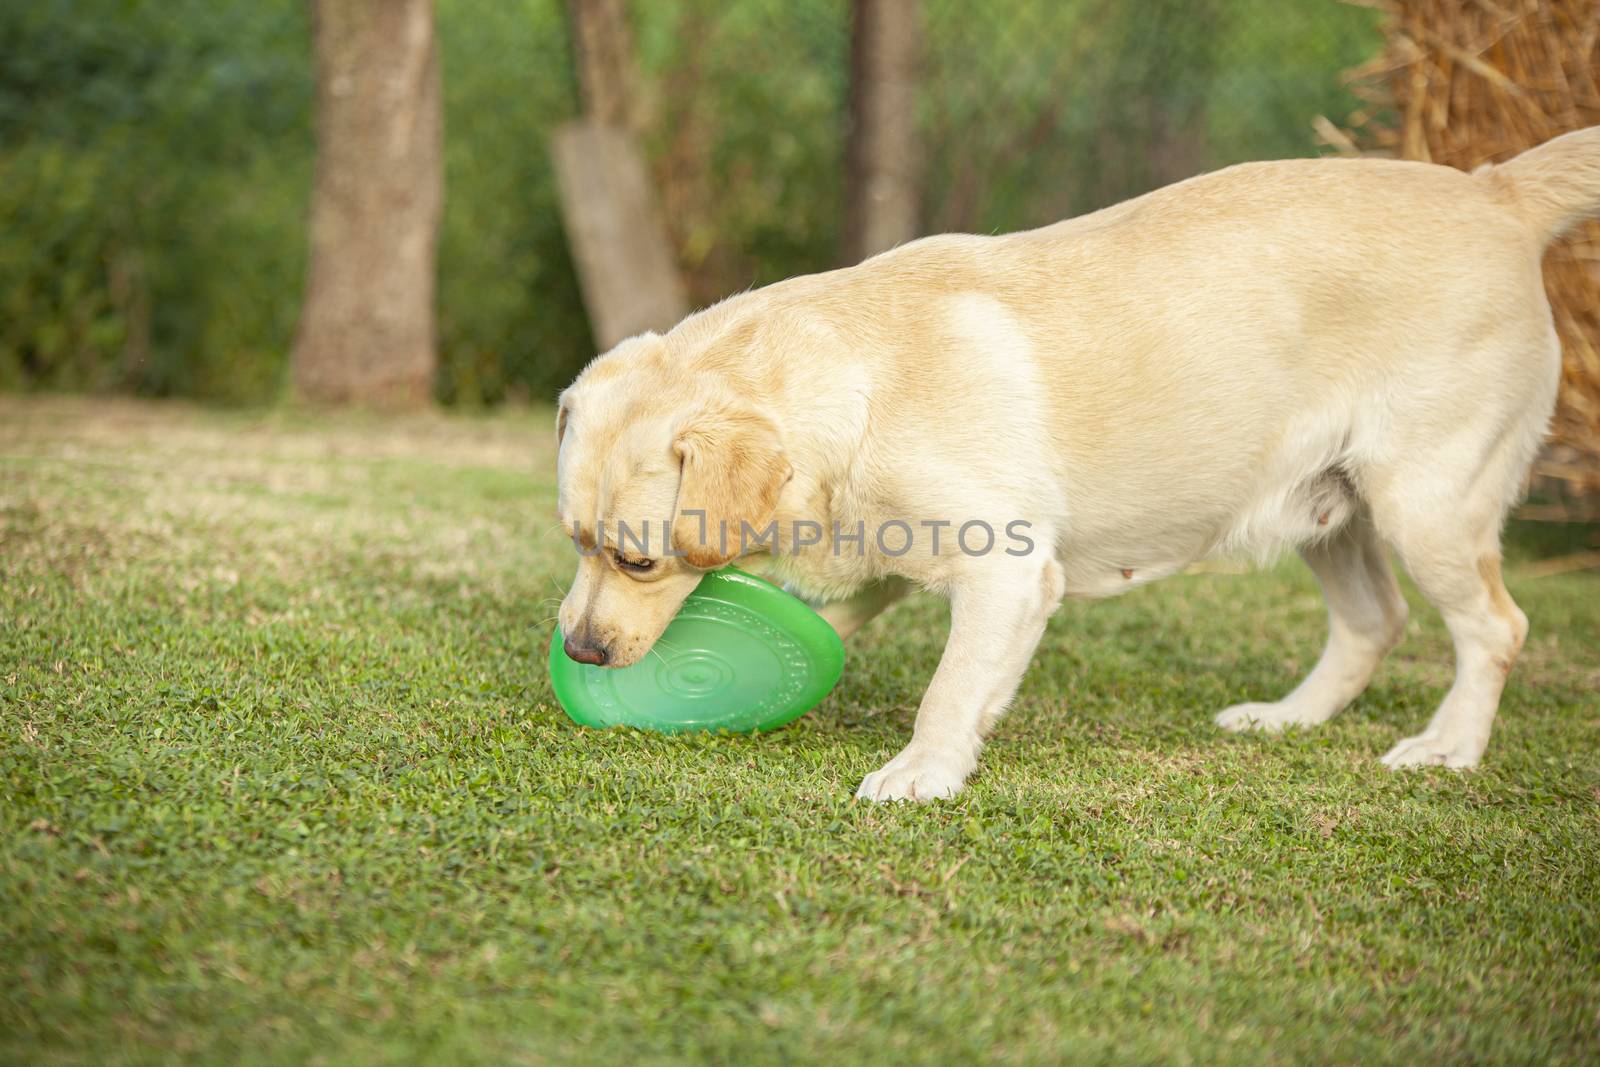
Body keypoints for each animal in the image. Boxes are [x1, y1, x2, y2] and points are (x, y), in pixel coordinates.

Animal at [556, 129, 1593, 799]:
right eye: (575, 540)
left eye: (639, 558)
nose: (579, 651)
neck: (858, 383)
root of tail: (1494, 190)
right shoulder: (887, 555)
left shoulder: (1006, 570)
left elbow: (949, 686)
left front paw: (922, 771)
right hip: (1324, 510)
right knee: (1376, 622)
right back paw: (1286, 718)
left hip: (1428, 506)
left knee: (1495, 627)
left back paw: (1449, 747)